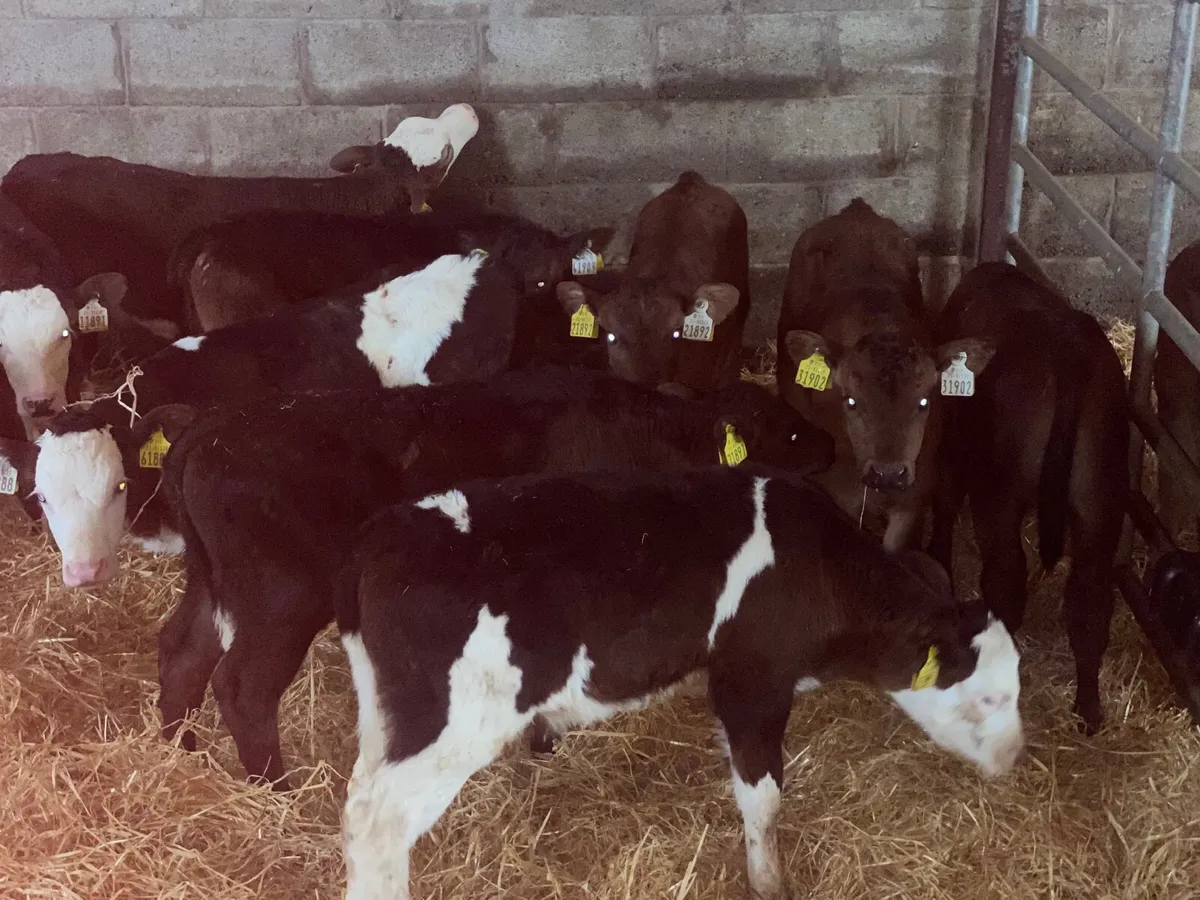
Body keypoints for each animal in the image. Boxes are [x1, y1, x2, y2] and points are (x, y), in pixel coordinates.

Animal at [154, 366, 837, 788]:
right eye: (788, 428)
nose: (832, 446)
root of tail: (209, 428)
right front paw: (544, 736)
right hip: (283, 599)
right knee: (242, 685)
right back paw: (278, 789)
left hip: (217, 584)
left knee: (181, 650)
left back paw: (179, 749)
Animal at [335, 467, 1025, 900]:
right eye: (991, 696)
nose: (1015, 756)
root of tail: (380, 534)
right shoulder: (753, 682)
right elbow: (763, 797)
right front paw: (768, 882)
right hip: (455, 723)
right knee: (379, 821)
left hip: (387, 713)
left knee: (358, 796)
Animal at [775, 197, 992, 553]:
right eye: (851, 401)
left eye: (924, 402)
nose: (888, 473)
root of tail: (857, 211)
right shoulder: (839, 491)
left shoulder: (914, 494)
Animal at [928, 262, 1128, 735]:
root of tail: (1071, 348)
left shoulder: (950, 442)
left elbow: (943, 500)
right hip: (1101, 498)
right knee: (1090, 601)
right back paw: (1088, 710)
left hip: (1000, 494)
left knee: (1006, 580)